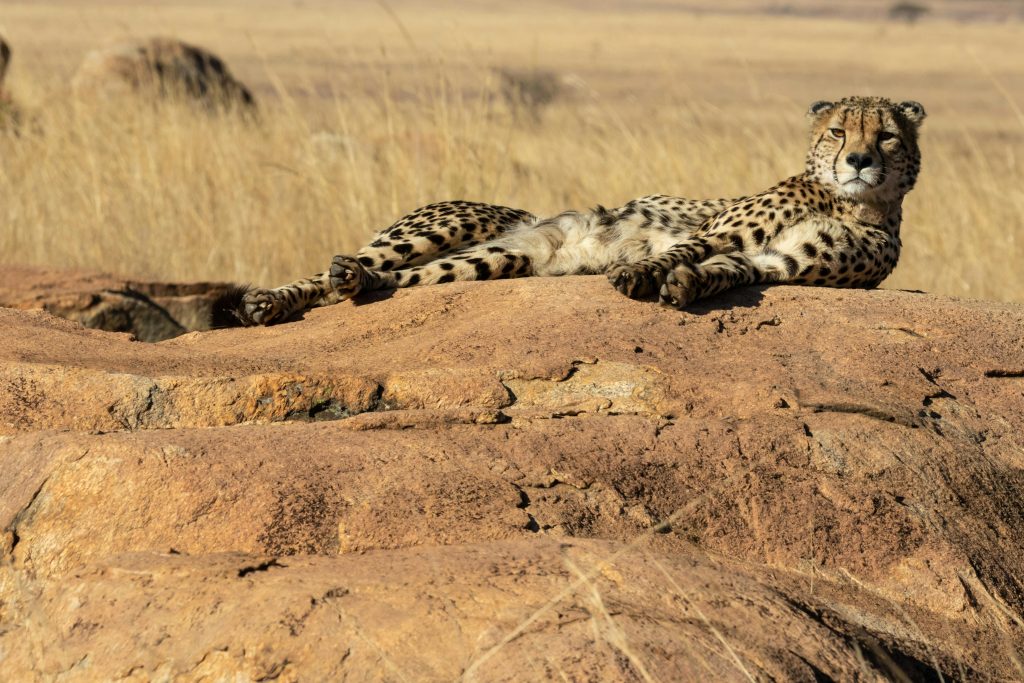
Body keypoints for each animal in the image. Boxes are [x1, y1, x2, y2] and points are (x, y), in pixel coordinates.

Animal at [217, 96, 925, 327]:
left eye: (888, 135)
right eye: (839, 131)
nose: (859, 160)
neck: (850, 204)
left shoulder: (778, 262)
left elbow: (728, 272)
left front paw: (685, 288)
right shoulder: (718, 229)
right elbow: (684, 248)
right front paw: (642, 275)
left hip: (489, 260)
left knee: (387, 280)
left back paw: (357, 284)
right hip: (451, 224)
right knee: (333, 270)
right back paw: (269, 301)